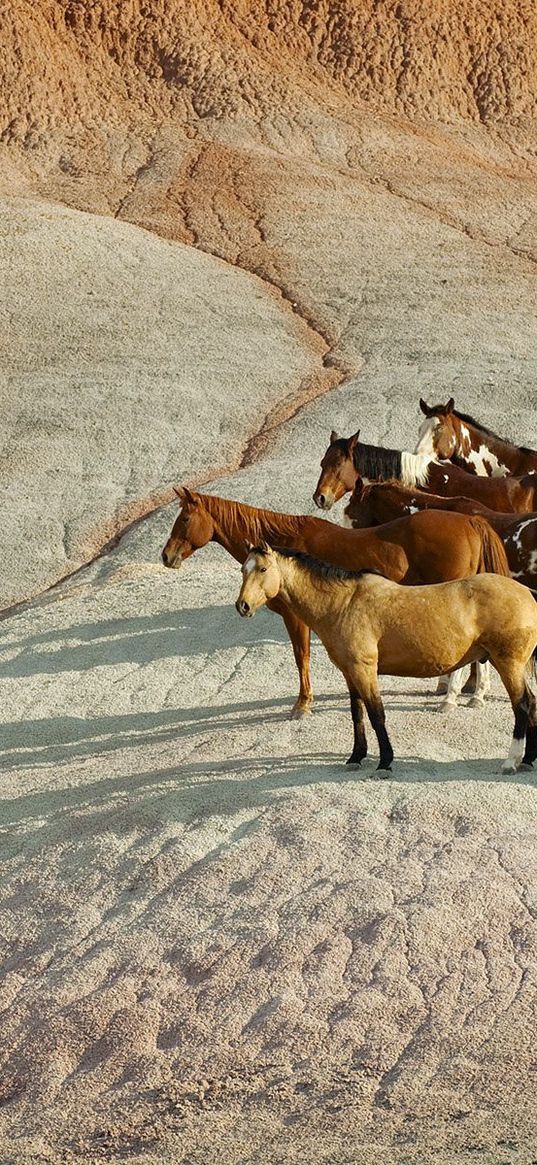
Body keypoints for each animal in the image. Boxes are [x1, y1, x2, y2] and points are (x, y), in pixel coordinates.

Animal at [160, 484, 507, 717]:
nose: (166, 556)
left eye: (185, 519)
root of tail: (469, 521)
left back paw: (451, 698)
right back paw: (474, 694)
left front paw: (302, 705)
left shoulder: (296, 619)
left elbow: (301, 657)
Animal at [236, 547, 535, 782]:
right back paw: (527, 759)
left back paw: (510, 761)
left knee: (521, 705)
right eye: (243, 569)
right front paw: (356, 757)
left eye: (263, 568)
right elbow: (357, 714)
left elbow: (376, 714)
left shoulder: (365, 670)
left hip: (508, 664)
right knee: (530, 702)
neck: (343, 603)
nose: (243, 606)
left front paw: (385, 762)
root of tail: (527, 594)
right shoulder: (350, 672)